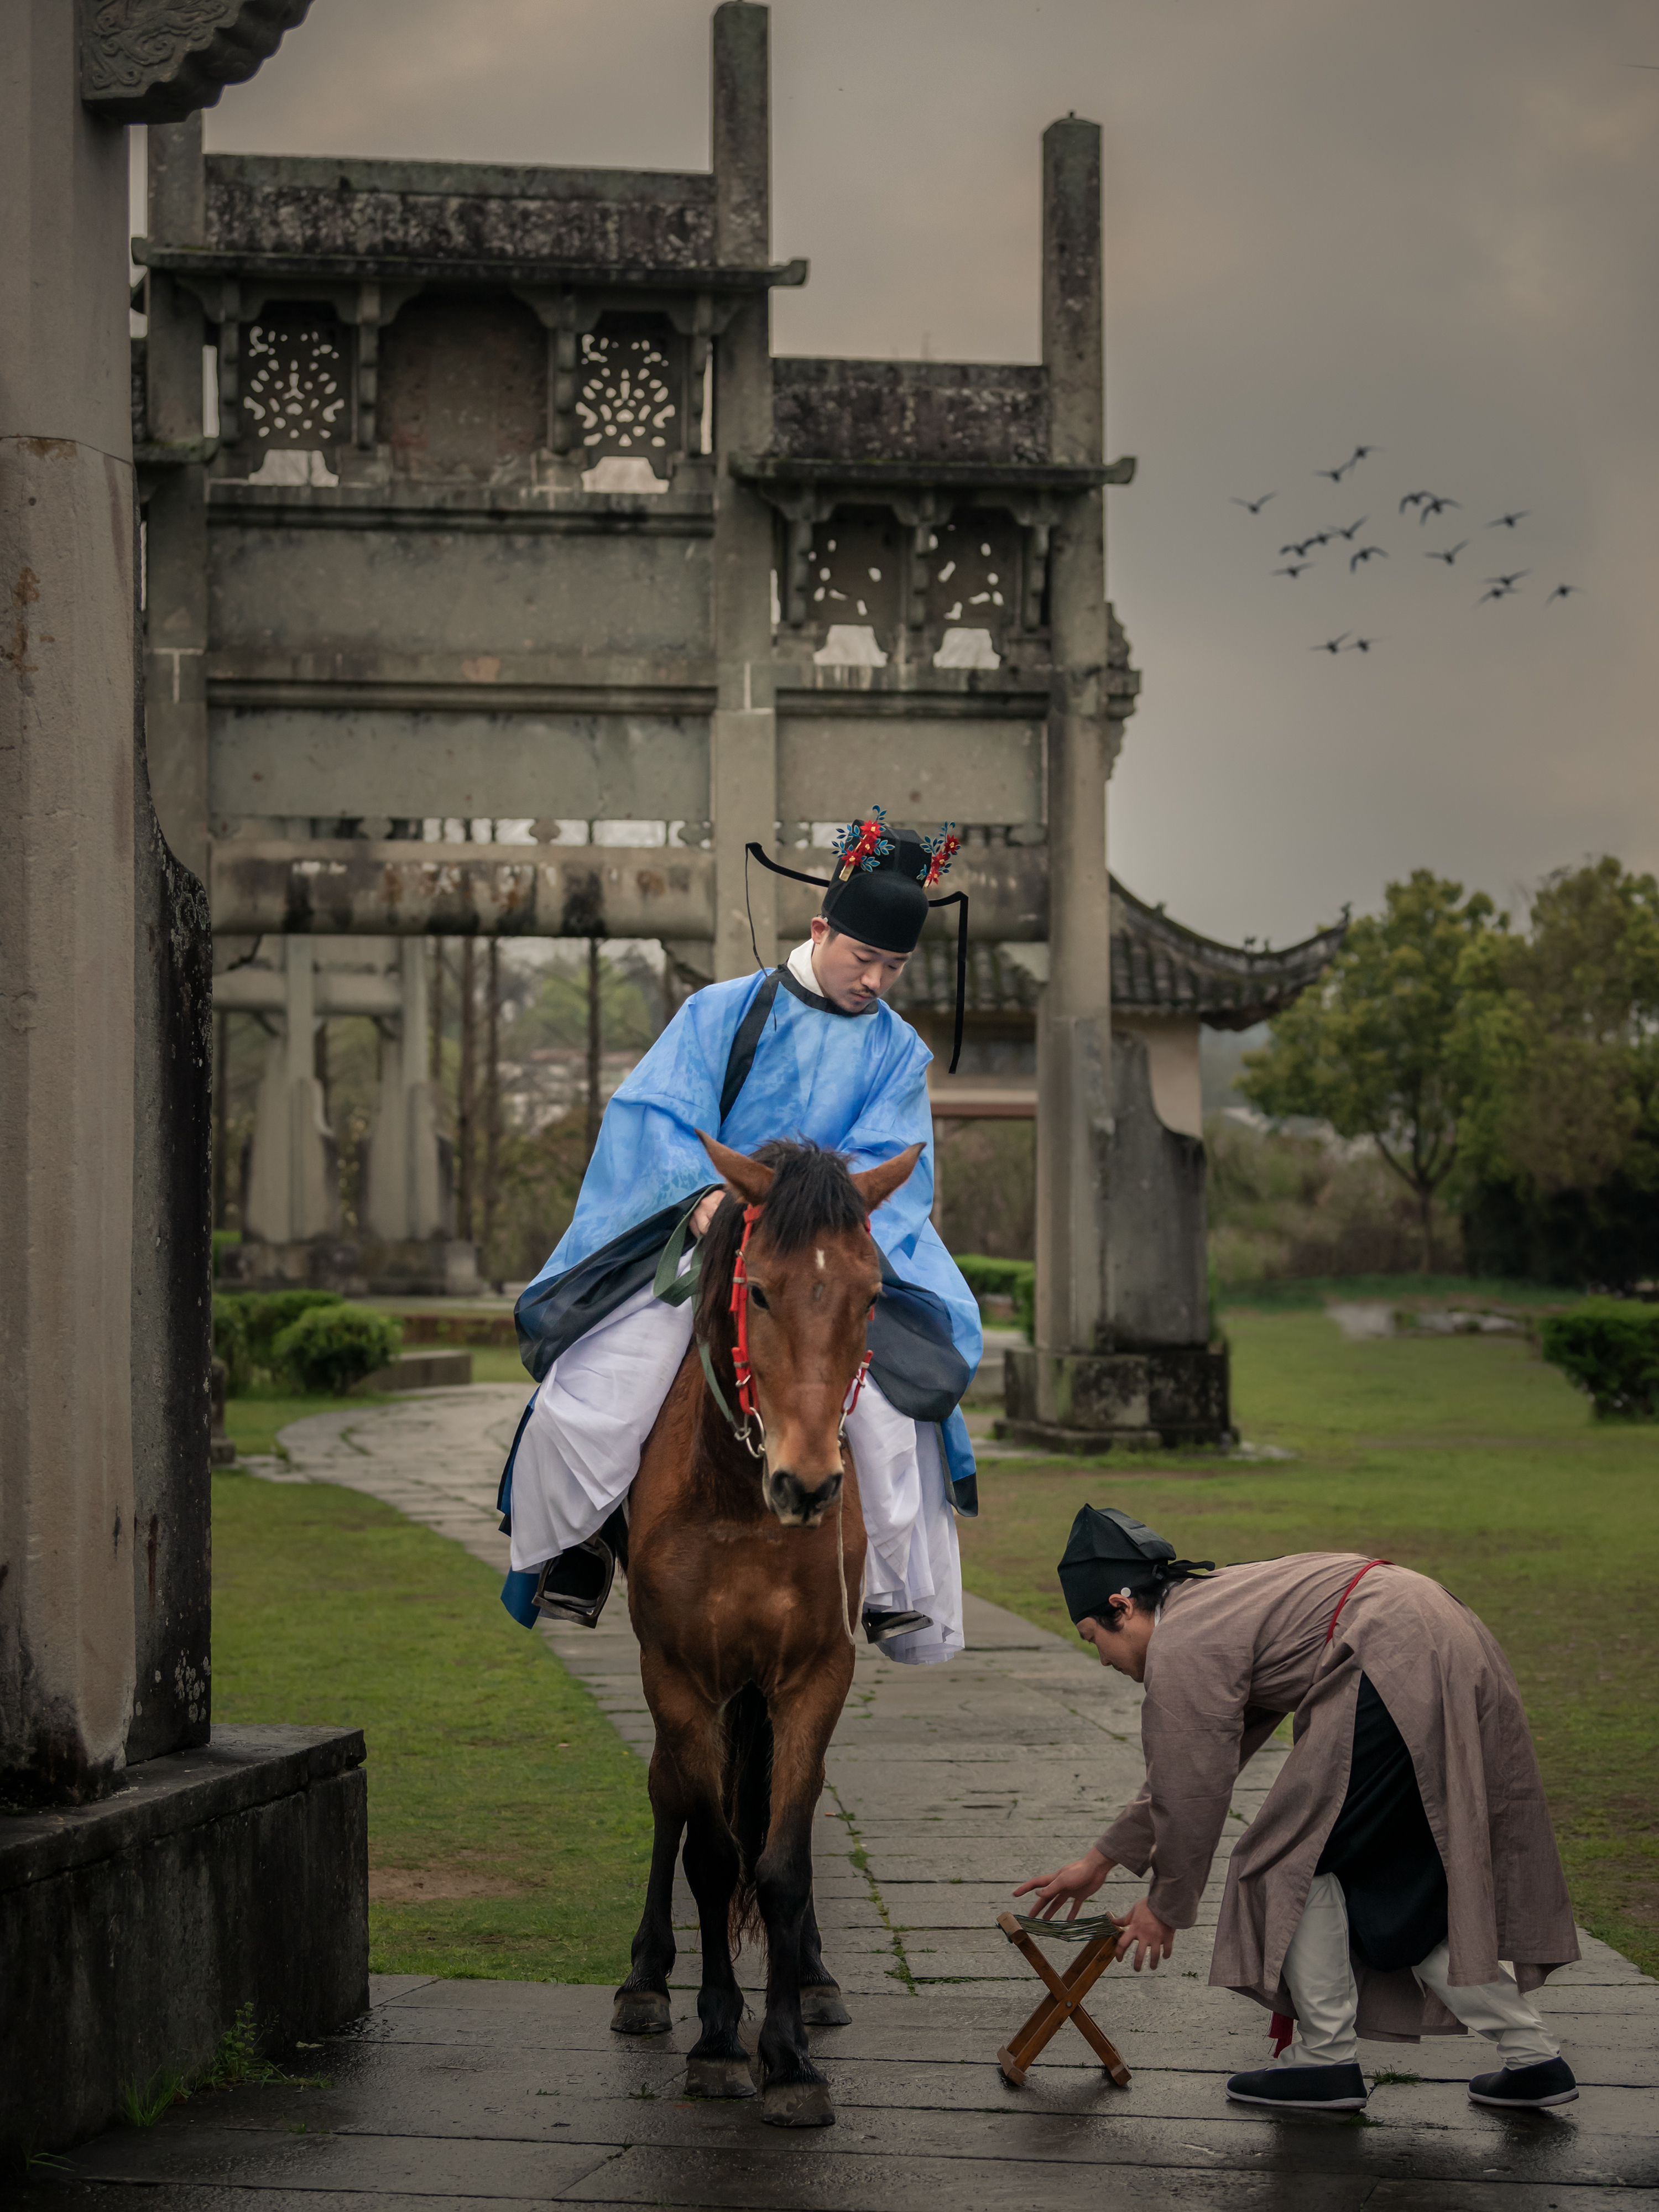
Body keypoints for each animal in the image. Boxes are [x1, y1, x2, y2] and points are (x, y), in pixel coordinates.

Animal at [606, 1141, 925, 2124]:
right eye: (761, 1293)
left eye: (871, 1293)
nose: (810, 1483)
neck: (742, 1504)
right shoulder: (676, 1672)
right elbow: (711, 1853)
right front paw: (717, 2041)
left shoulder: (815, 1672)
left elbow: (781, 1860)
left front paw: (786, 2058)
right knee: (669, 1795)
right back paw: (645, 1980)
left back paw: (815, 1978)